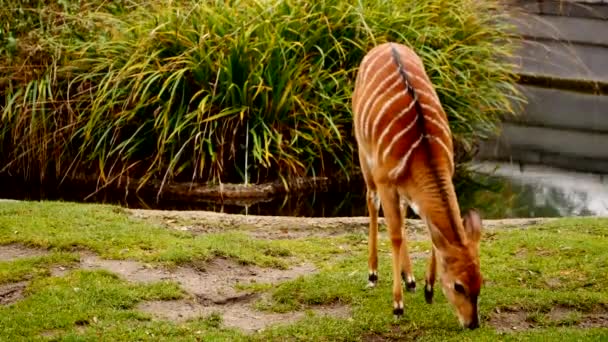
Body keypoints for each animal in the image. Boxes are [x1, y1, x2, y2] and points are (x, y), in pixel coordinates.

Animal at [352, 42, 484, 328]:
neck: (423, 150)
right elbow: (395, 235)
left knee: (402, 214)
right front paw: (397, 306)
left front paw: (428, 288)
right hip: (364, 155)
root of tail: (386, 44)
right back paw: (373, 274)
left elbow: (429, 233)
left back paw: (409, 278)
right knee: (371, 202)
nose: (472, 323)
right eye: (458, 286)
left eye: (481, 282)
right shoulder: (385, 182)